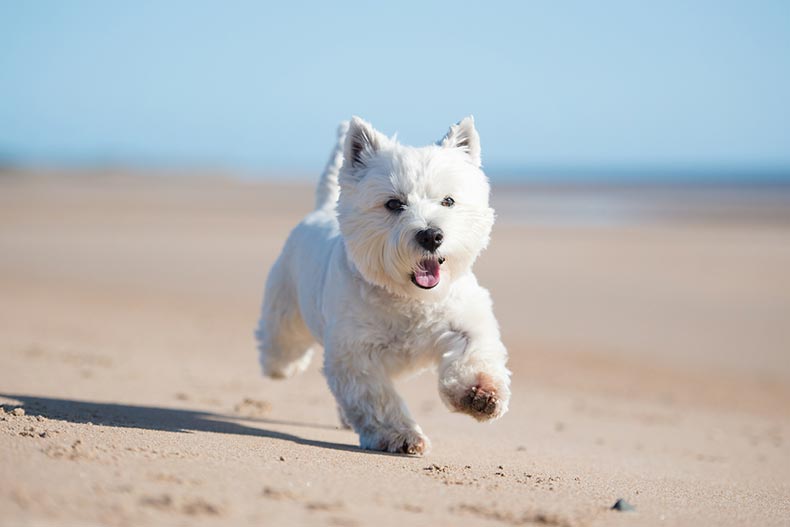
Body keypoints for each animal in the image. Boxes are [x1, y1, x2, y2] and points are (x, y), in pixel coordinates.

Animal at [256, 117, 510, 456]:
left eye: (448, 201)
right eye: (394, 203)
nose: (431, 235)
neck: (407, 296)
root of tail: (321, 210)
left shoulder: (464, 322)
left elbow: (474, 351)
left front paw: (479, 393)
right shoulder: (355, 354)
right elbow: (377, 401)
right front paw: (401, 435)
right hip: (285, 308)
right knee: (281, 342)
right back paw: (279, 365)